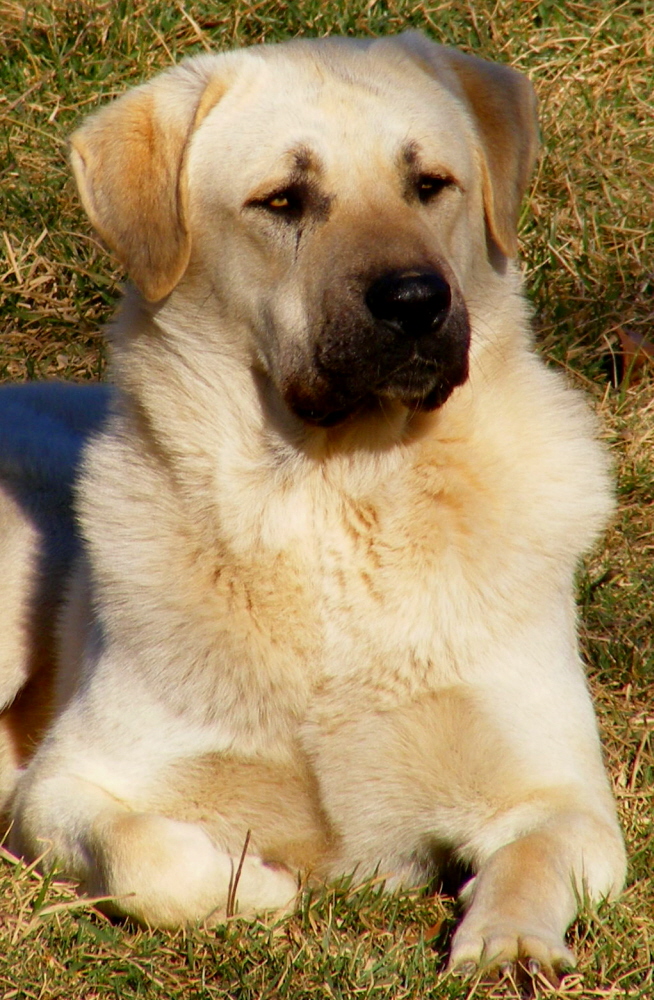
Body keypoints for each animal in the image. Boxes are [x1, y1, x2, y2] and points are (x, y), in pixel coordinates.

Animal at [0, 33, 624, 984]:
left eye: (429, 183)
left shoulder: (562, 797)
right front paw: (253, 884)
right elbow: (151, 857)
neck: (339, 500)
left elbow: (533, 860)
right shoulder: (69, 781)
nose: (417, 301)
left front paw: (509, 943)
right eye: (283, 201)